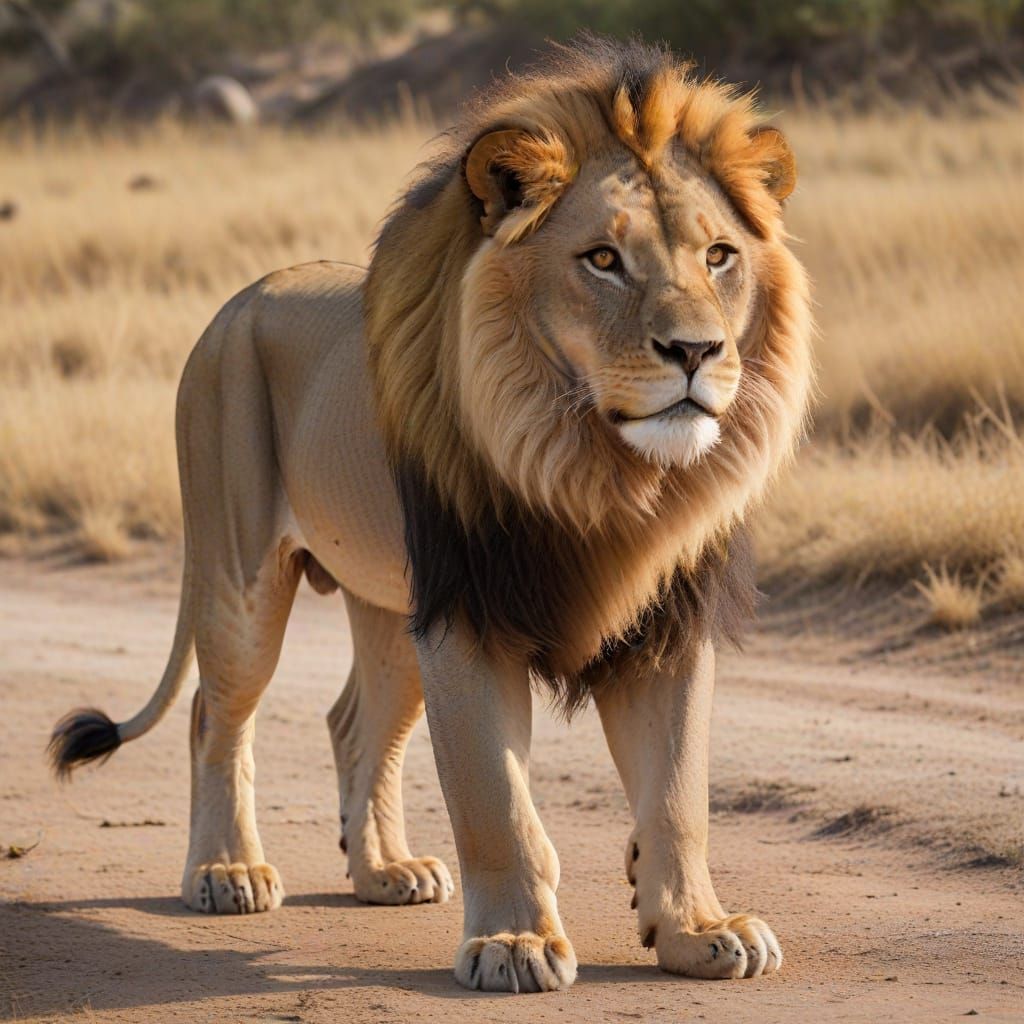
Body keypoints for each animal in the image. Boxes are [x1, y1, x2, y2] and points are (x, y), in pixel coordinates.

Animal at [49, 37, 813, 994]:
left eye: (717, 256)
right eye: (603, 260)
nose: (696, 351)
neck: (603, 474)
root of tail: (243, 297)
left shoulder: (668, 621)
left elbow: (679, 795)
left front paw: (698, 929)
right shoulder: (466, 614)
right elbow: (494, 797)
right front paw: (516, 944)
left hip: (388, 602)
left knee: (353, 723)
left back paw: (384, 871)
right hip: (242, 574)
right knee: (213, 716)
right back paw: (227, 872)